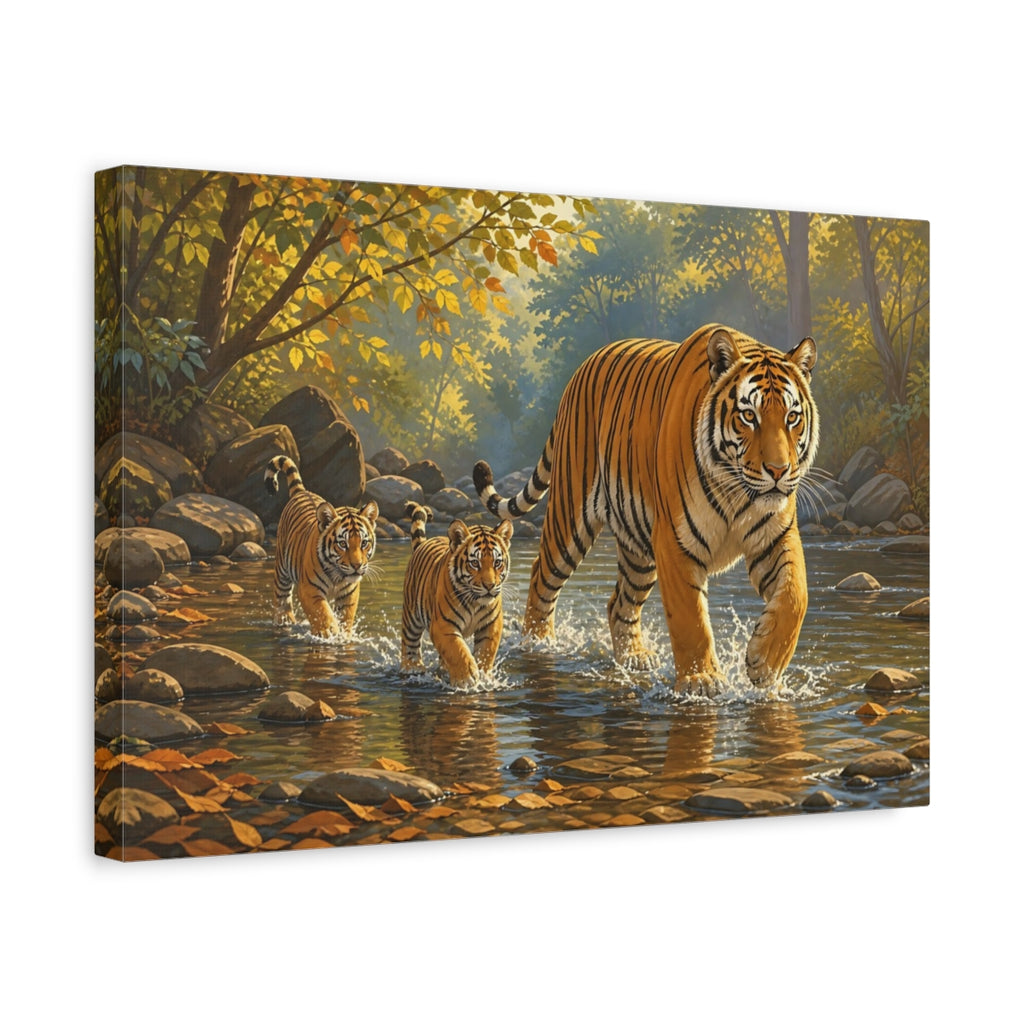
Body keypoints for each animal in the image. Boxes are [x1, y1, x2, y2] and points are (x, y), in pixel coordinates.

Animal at [264, 455, 379, 638]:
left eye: (364, 543)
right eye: (343, 544)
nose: (357, 565)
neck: (337, 577)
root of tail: (302, 491)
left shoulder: (349, 593)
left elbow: (346, 616)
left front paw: (343, 635)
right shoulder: (309, 589)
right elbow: (322, 612)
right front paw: (328, 632)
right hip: (282, 569)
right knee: (281, 597)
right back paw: (285, 620)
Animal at [400, 502, 513, 688]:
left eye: (497, 563)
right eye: (475, 563)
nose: (490, 586)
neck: (475, 601)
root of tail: (424, 543)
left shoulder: (491, 625)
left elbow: (486, 652)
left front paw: (484, 676)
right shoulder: (442, 625)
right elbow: (457, 649)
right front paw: (466, 678)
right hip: (411, 616)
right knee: (410, 642)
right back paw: (412, 667)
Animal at [473, 323, 819, 695]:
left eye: (792, 417)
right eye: (749, 416)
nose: (778, 471)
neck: (737, 492)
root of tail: (582, 368)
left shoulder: (776, 536)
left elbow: (795, 596)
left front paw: (764, 665)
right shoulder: (675, 542)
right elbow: (690, 618)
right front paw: (701, 681)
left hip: (638, 549)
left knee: (618, 603)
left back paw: (634, 657)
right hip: (570, 515)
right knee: (541, 574)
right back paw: (539, 644)